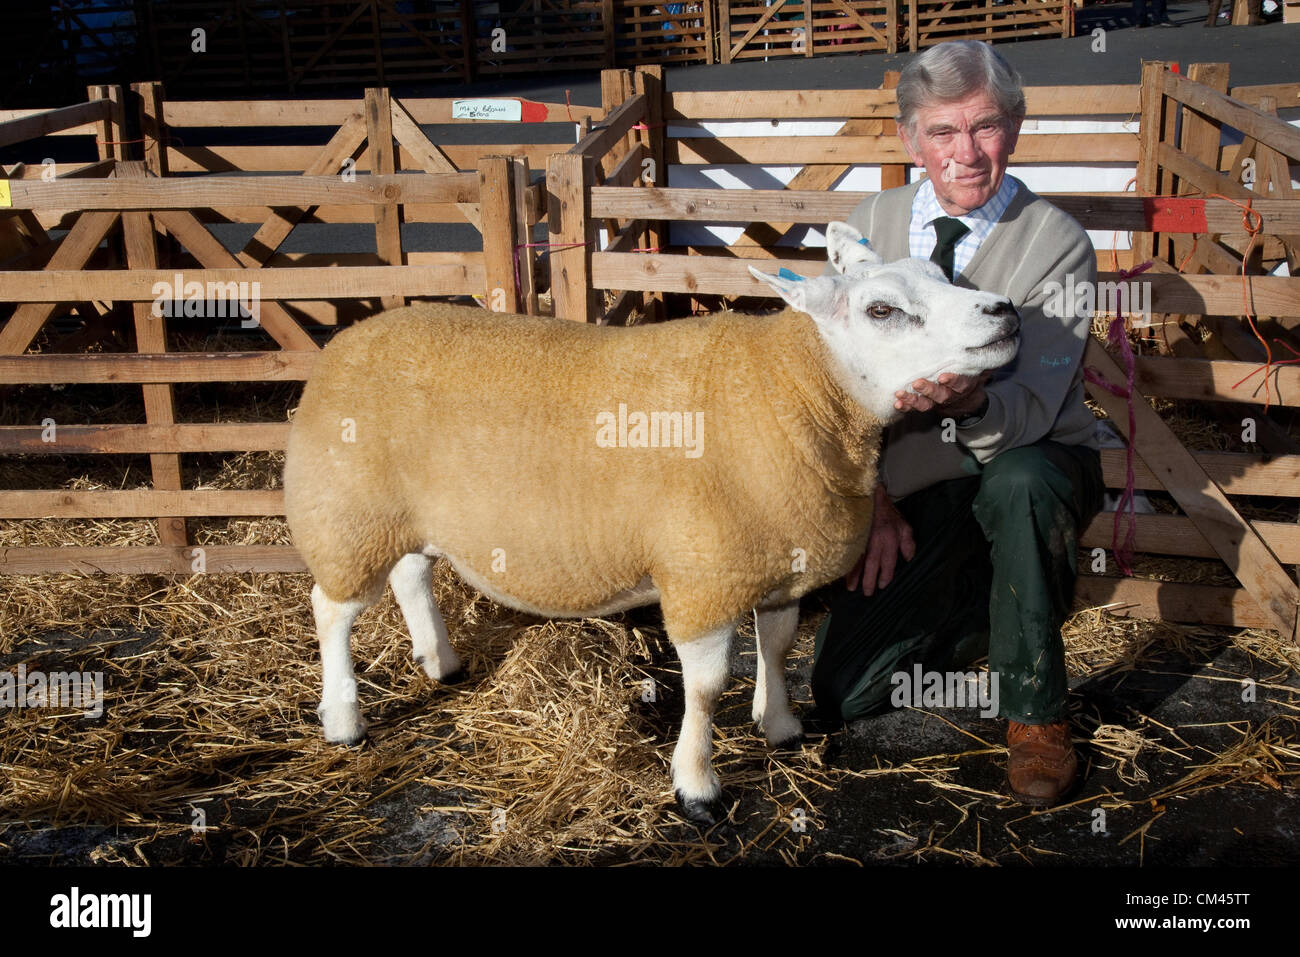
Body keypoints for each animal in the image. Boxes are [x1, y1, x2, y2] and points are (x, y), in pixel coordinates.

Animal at [282, 221, 1013, 826]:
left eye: (943, 274)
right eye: (881, 309)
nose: (1004, 311)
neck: (796, 391)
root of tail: (342, 344)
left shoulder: (777, 563)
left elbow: (776, 646)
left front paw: (779, 724)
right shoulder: (704, 576)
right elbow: (707, 687)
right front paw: (696, 786)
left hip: (397, 512)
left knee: (411, 573)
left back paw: (441, 661)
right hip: (346, 512)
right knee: (332, 608)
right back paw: (344, 718)